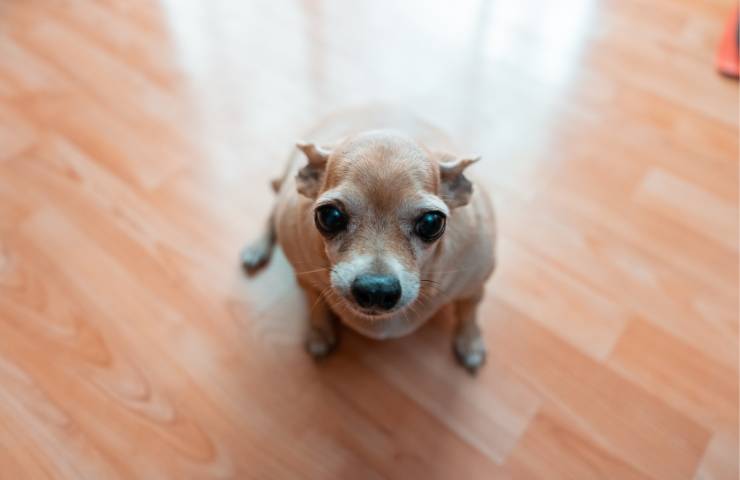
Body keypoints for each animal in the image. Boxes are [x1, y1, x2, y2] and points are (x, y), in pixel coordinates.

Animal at [243, 108, 498, 372]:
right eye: (329, 216)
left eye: (432, 222)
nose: (377, 290)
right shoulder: (305, 279)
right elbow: (316, 301)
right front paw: (319, 332)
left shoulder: (474, 286)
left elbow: (469, 313)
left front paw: (470, 343)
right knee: (271, 214)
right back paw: (257, 248)